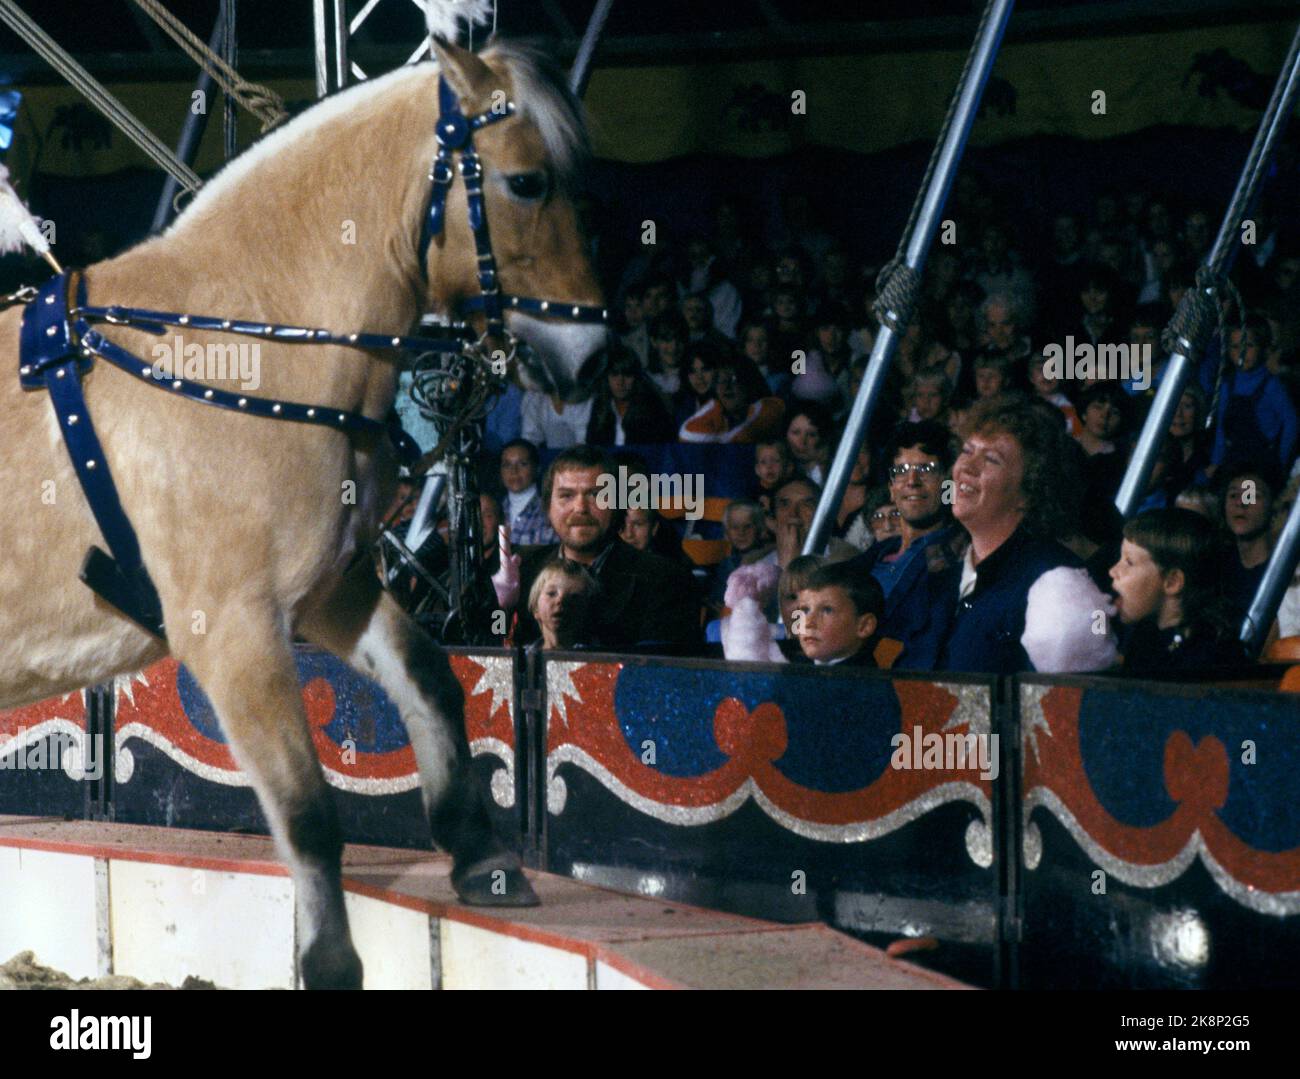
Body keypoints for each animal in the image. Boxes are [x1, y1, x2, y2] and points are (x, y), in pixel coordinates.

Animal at [0, 40, 608, 987]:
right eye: (527, 183)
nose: (589, 358)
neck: (234, 345)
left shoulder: (330, 588)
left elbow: (430, 677)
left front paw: (480, 854)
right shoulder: (232, 630)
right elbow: (308, 810)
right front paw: (329, 960)